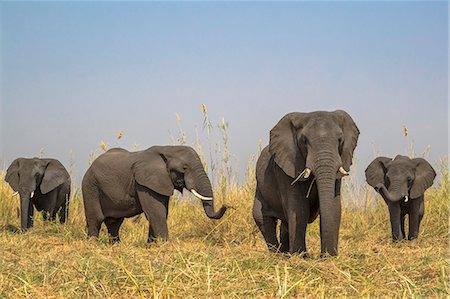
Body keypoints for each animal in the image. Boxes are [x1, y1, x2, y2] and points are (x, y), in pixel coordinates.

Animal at [81, 146, 227, 244]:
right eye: (184, 168)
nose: (226, 205)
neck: (168, 149)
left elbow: (160, 212)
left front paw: (151, 245)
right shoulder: (144, 183)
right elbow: (156, 212)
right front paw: (163, 244)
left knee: (114, 222)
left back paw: (116, 244)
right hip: (90, 187)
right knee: (96, 218)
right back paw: (93, 244)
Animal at [255, 111, 360, 256]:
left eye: (340, 140)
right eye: (304, 141)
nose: (324, 255)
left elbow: (334, 206)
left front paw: (330, 256)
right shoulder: (286, 167)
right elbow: (299, 208)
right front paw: (301, 256)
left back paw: (286, 253)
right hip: (260, 189)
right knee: (262, 218)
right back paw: (278, 255)